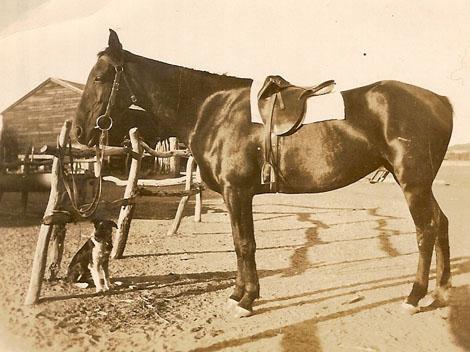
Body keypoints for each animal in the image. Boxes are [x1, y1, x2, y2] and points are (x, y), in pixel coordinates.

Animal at [75, 29, 454, 316]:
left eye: (100, 77)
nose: (79, 131)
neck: (212, 109)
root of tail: (441, 100)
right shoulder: (234, 195)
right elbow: (238, 242)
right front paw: (237, 295)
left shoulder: (237, 191)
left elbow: (245, 243)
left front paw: (247, 300)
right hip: (420, 183)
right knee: (442, 223)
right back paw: (441, 291)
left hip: (413, 183)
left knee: (426, 230)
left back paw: (415, 296)